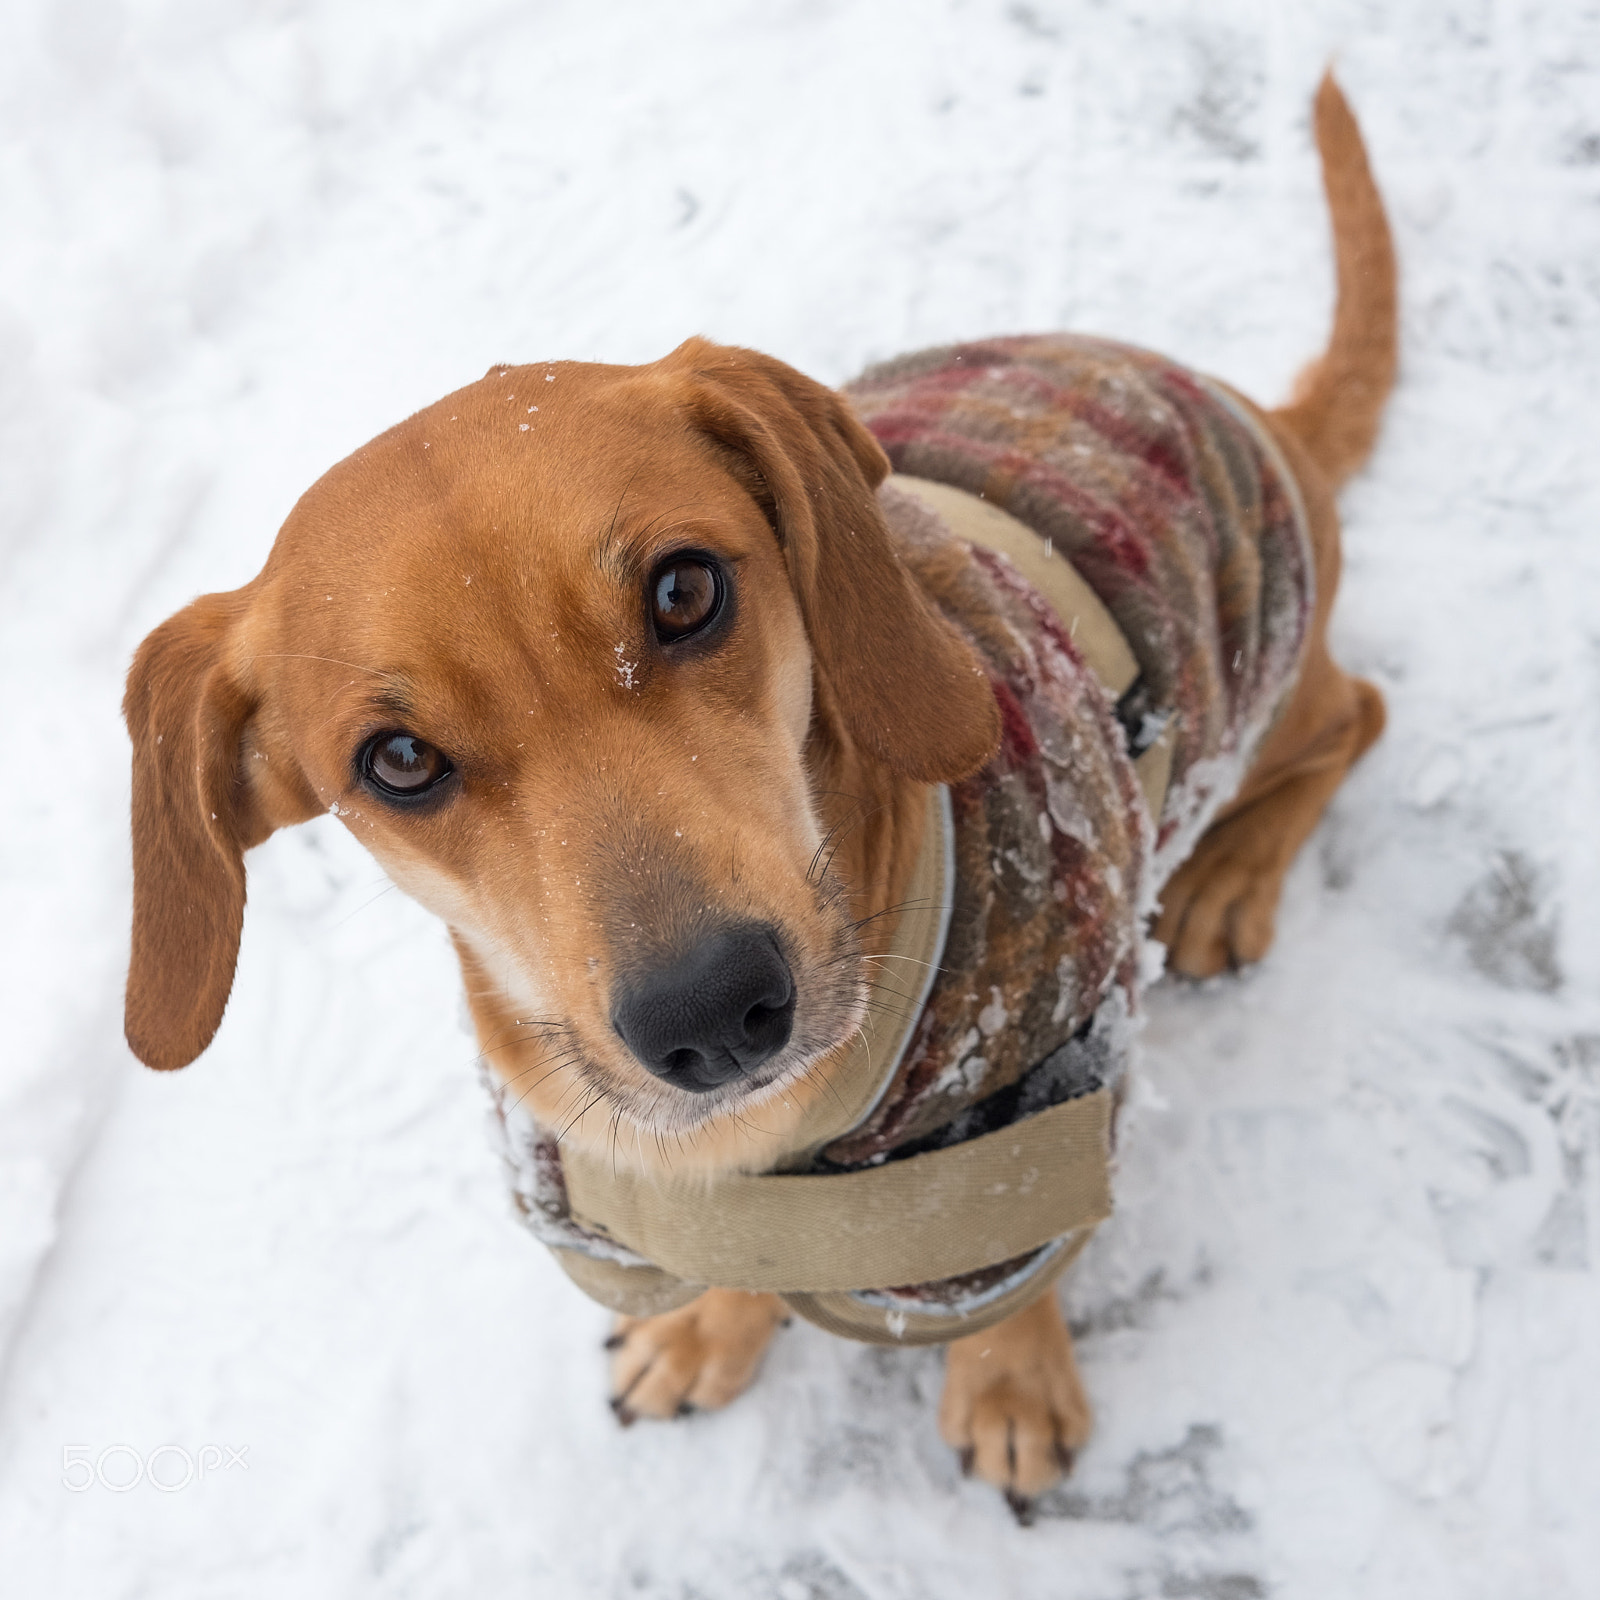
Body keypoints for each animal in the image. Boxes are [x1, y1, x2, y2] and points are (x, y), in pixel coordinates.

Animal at [124, 75, 1395, 1516]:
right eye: (397, 762)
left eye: (686, 588)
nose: (710, 1014)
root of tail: (1255, 409)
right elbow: (734, 1257)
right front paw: (706, 1331)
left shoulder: (1035, 1115)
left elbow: (1018, 1276)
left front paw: (1012, 1386)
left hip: (1277, 686)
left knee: (1359, 716)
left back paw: (1233, 874)